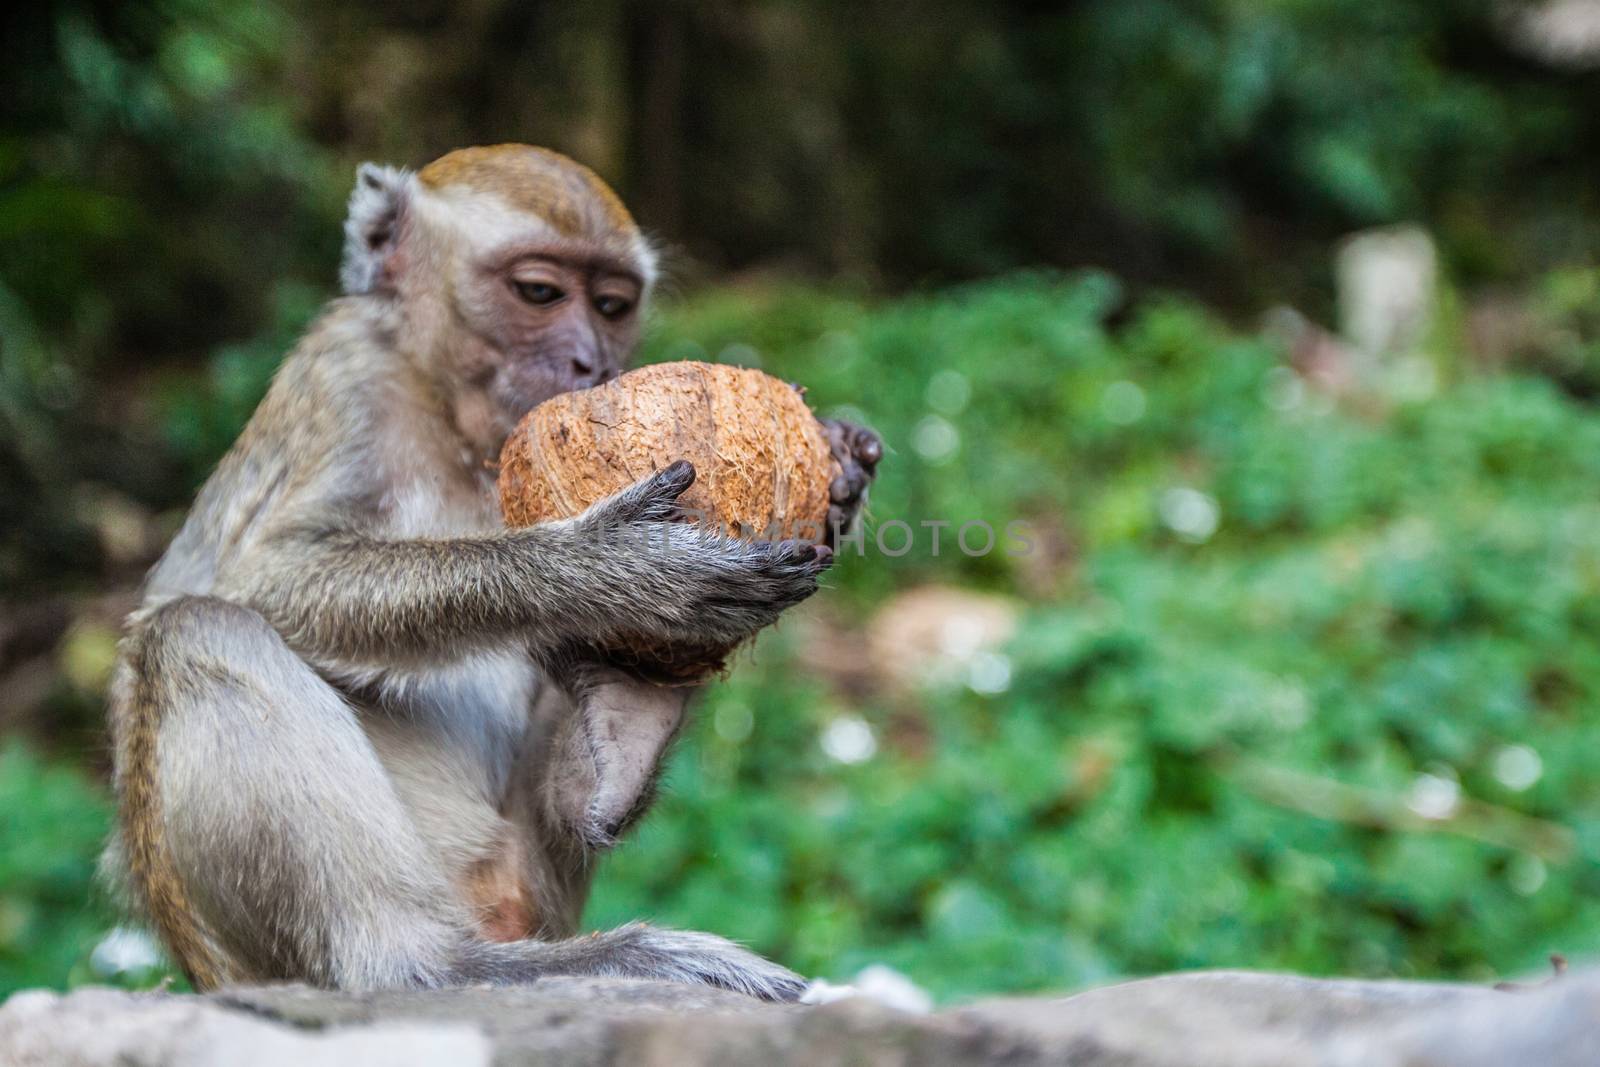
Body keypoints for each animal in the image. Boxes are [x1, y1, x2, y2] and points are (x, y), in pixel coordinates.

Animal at [100, 146, 883, 1004]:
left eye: (612, 305)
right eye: (539, 293)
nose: (592, 361)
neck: (458, 427)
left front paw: (843, 474)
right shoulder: (347, 377)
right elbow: (261, 576)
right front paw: (610, 568)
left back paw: (628, 719)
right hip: (247, 958)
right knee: (199, 629)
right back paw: (438, 965)